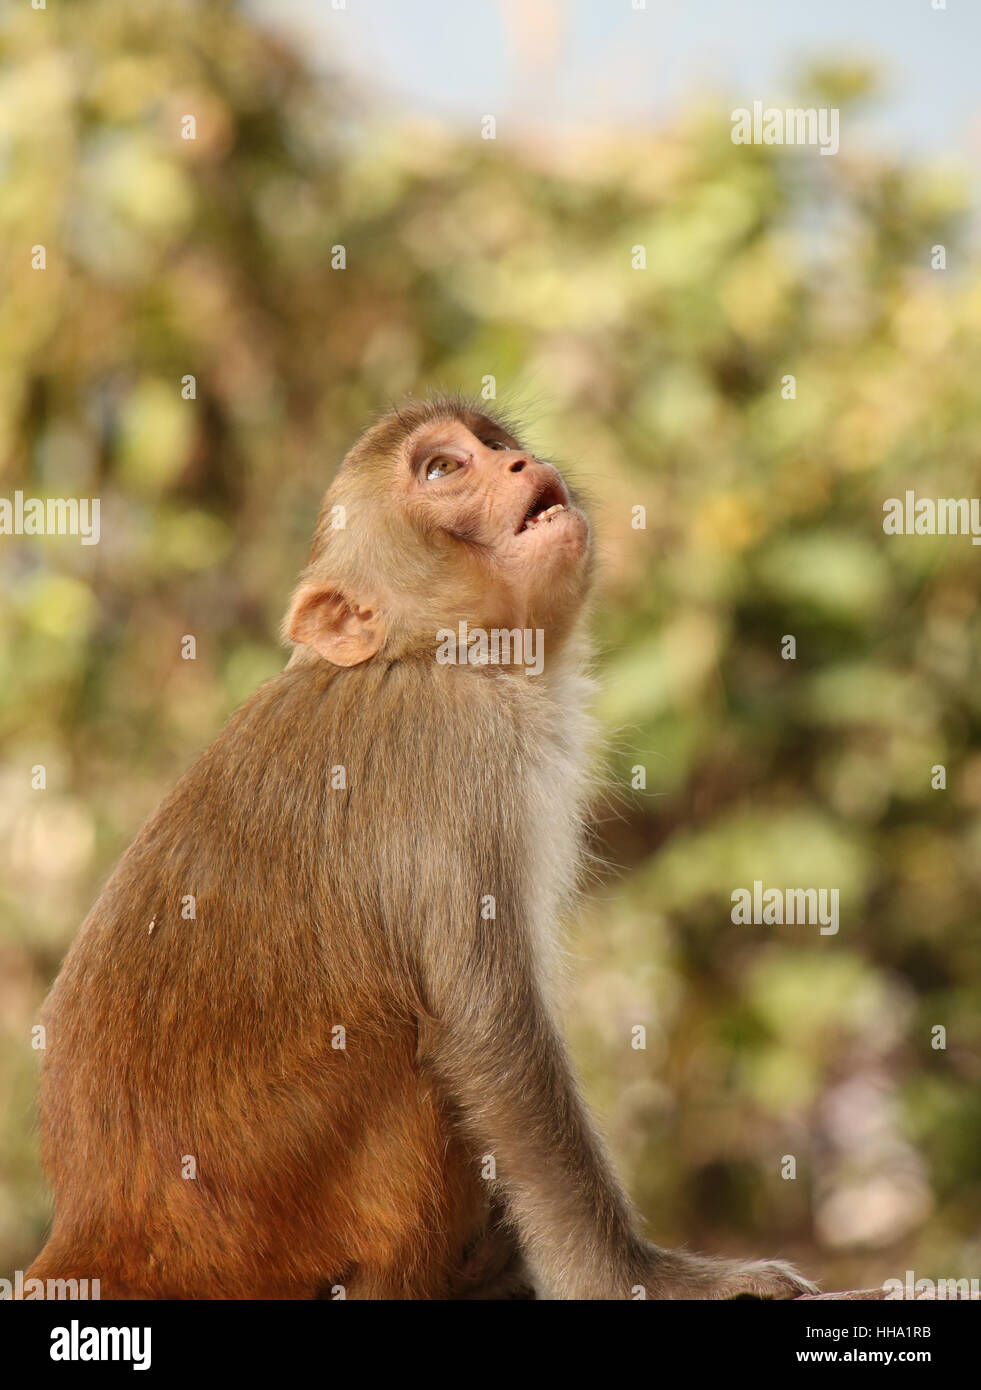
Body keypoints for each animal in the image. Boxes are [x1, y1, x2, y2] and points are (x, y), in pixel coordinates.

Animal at [24, 400, 817, 1301]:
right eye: (442, 470)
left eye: (494, 446)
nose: (520, 466)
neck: (426, 655)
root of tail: (101, 1232)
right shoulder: (463, 753)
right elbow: (487, 1025)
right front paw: (646, 1277)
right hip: (275, 1225)